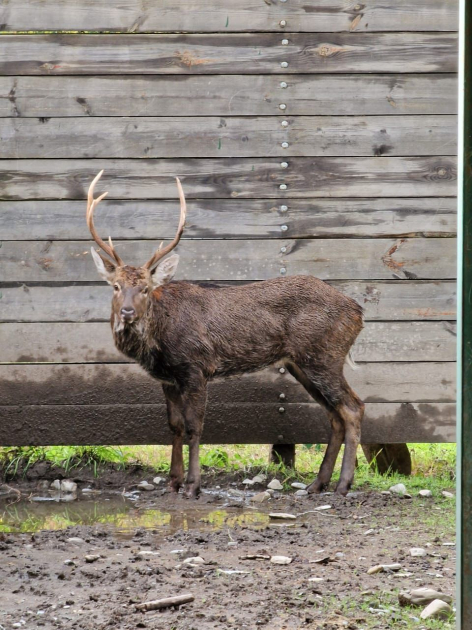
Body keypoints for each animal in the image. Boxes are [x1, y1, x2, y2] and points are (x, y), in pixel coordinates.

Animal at [87, 170, 366, 502]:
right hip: (303, 363)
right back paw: (317, 483)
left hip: (325, 355)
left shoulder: (196, 367)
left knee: (353, 408)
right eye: (116, 286)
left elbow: (195, 426)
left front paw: (193, 484)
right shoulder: (167, 378)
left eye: (145, 288)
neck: (159, 341)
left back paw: (343, 484)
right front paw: (173, 481)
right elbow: (174, 426)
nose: (127, 312)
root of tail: (358, 311)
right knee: (335, 414)